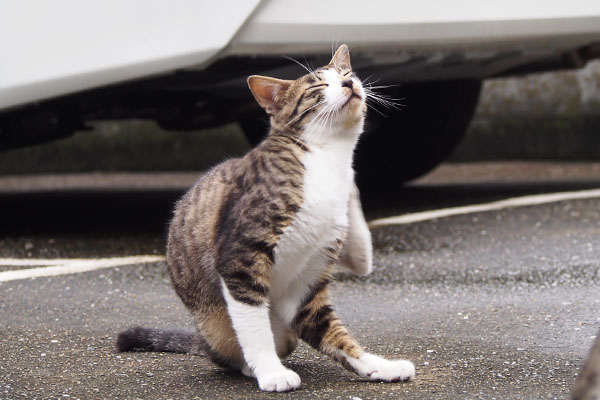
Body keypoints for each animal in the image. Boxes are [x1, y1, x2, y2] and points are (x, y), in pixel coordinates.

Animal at [117, 45, 418, 392]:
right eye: (318, 86)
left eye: (346, 74)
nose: (349, 84)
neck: (326, 158)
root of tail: (203, 342)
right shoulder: (240, 256)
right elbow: (254, 326)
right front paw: (272, 373)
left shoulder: (311, 278)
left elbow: (340, 327)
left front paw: (378, 366)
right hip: (218, 327)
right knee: (230, 352)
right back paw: (251, 367)